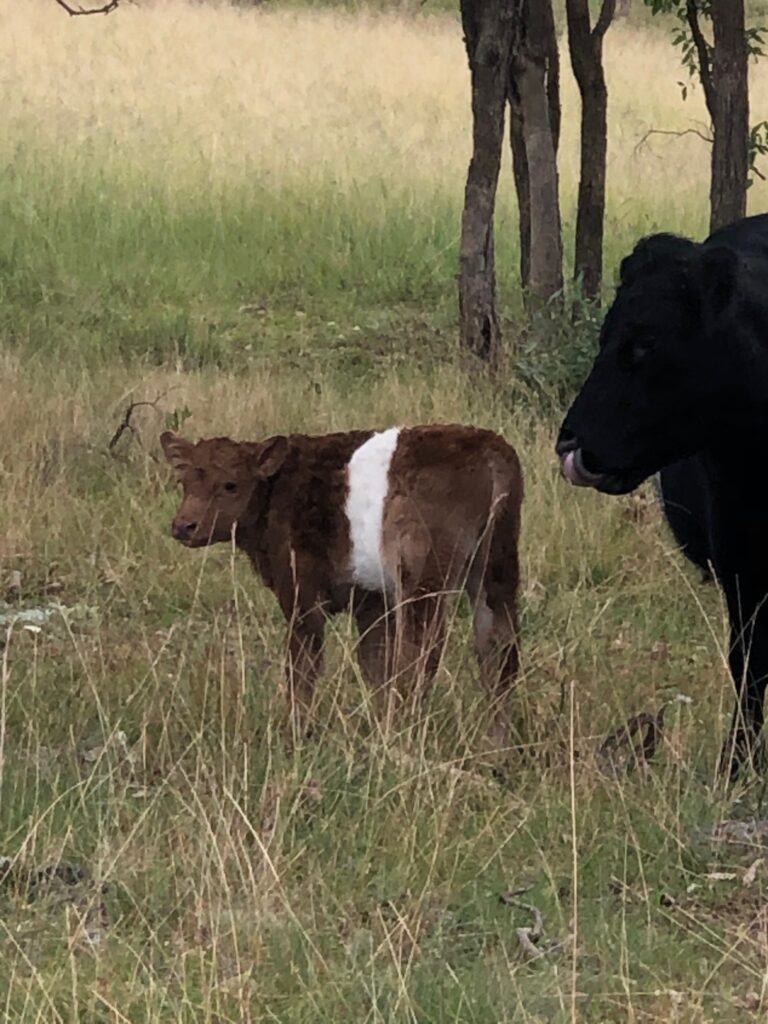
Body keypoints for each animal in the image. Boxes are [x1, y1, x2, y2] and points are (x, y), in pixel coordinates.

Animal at [160, 421, 524, 737]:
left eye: (230, 484)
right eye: (185, 483)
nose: (184, 526)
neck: (277, 493)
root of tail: (489, 447)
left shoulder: (301, 593)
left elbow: (303, 666)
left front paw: (298, 734)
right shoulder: (371, 601)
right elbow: (375, 665)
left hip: (423, 573)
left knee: (423, 648)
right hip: (496, 565)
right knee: (498, 649)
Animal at [561, 214, 768, 774]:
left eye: (644, 343)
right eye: (604, 334)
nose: (569, 441)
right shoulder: (741, 571)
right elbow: (751, 670)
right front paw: (738, 766)